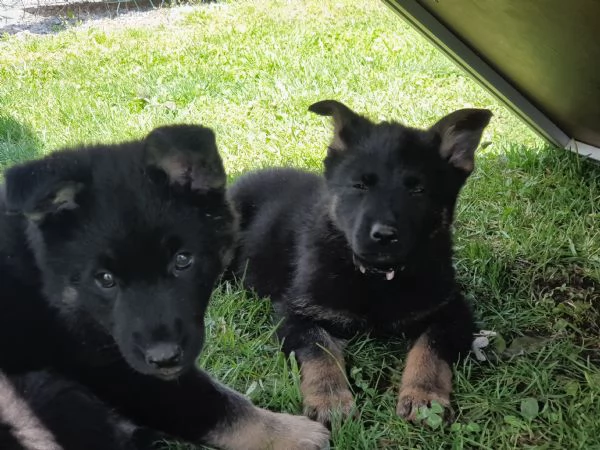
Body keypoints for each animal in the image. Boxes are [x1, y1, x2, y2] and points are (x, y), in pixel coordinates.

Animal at [0, 125, 328, 448]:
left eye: (182, 260)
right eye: (105, 279)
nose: (164, 358)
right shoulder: (119, 369)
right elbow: (214, 404)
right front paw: (294, 434)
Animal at [230, 100, 492, 424]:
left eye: (418, 190)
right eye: (359, 186)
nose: (384, 236)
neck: (376, 278)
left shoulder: (452, 310)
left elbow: (429, 347)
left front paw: (423, 395)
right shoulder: (296, 312)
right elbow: (320, 349)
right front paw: (330, 398)